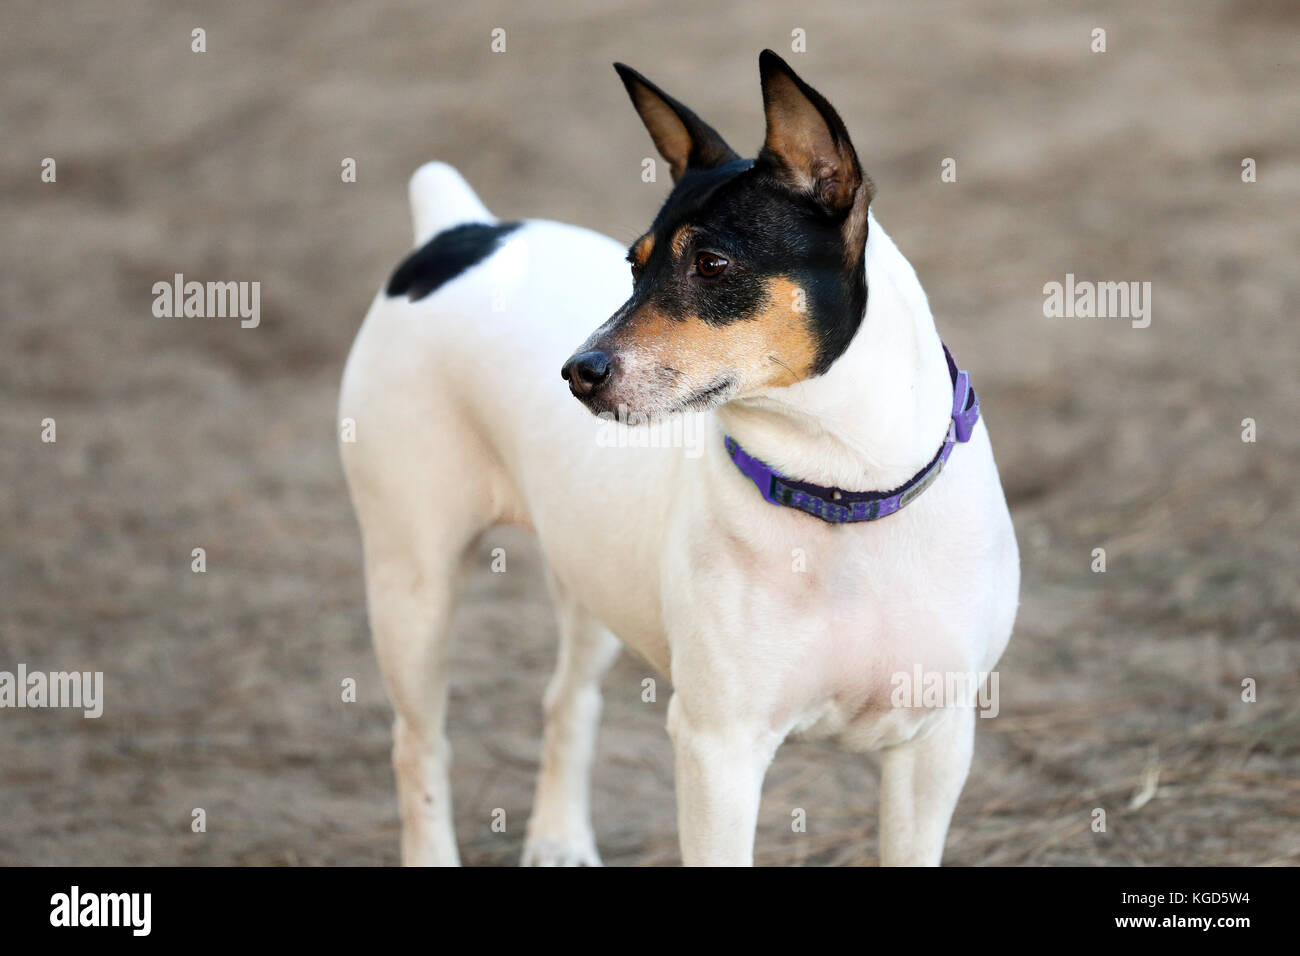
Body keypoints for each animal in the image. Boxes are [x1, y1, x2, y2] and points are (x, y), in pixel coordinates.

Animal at [340, 50, 1019, 868]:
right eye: (633, 269)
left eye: (713, 264)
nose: (579, 371)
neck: (837, 492)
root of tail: (457, 231)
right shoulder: (718, 750)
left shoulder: (933, 746)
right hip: (412, 583)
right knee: (418, 745)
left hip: (587, 571)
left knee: (568, 699)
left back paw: (560, 838)